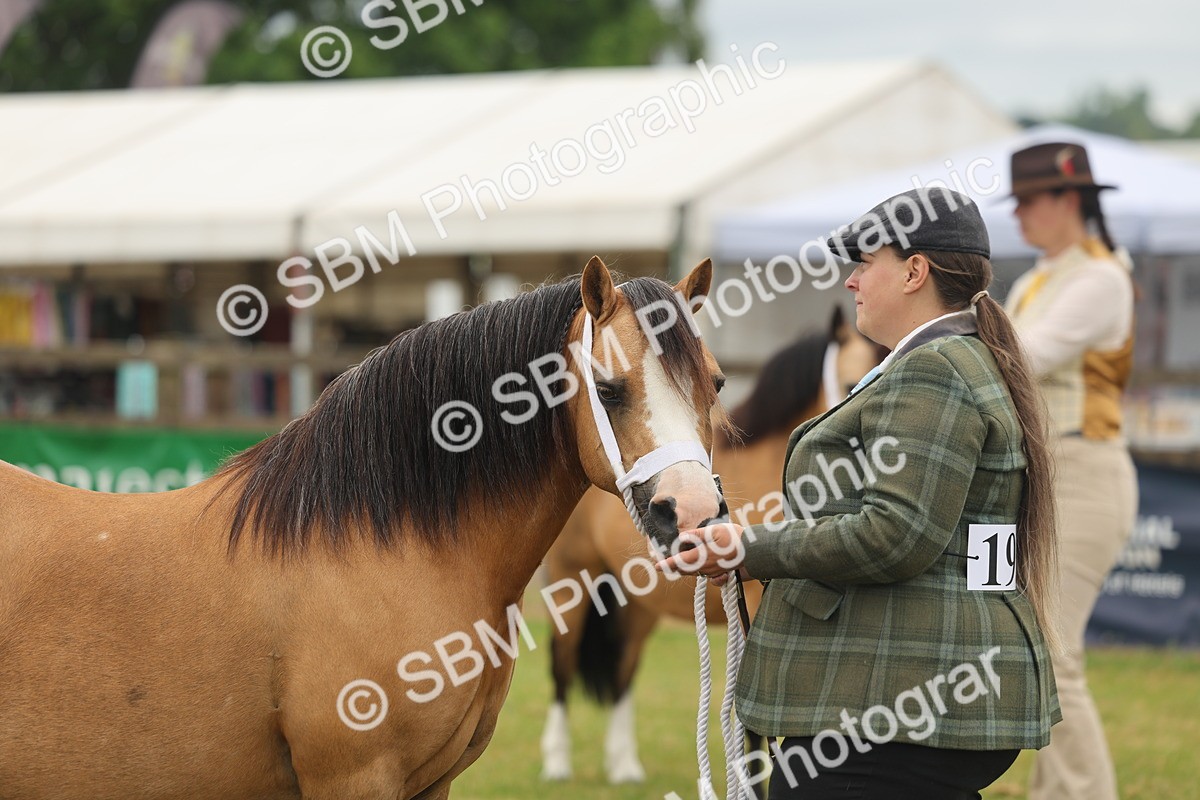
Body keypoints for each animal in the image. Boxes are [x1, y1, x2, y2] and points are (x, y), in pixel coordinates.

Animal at [540, 305, 885, 784]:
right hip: (572, 579)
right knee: (562, 664)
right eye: (855, 384)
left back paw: (625, 765)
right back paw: (556, 761)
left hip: (639, 604)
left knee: (624, 668)